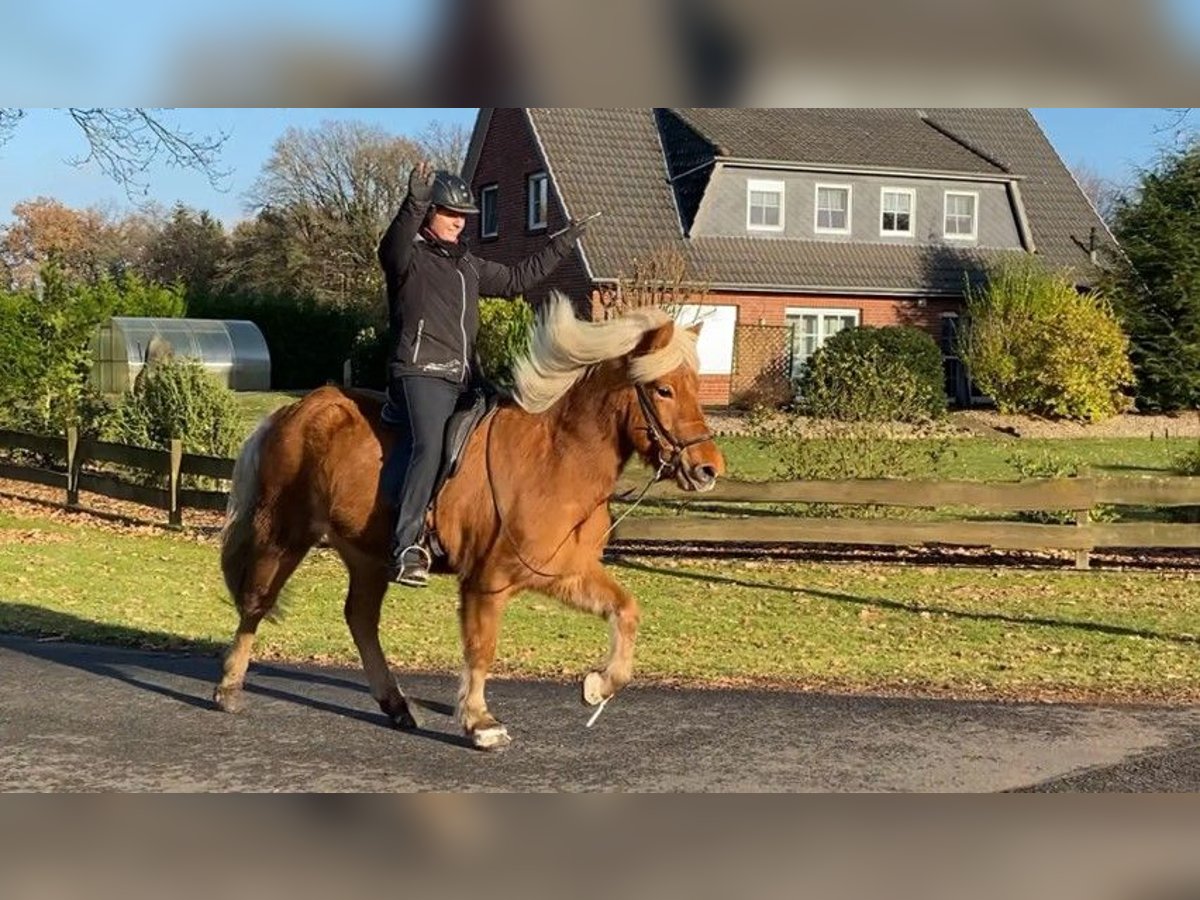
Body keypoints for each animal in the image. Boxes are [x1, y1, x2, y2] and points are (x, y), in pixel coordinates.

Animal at [212, 293, 725, 749]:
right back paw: (229, 687)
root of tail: (294, 410)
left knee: (360, 618)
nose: (708, 469)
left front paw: (598, 684)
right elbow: (481, 649)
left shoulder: (563, 572)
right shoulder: (487, 582)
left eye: (694, 387)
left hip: (367, 555)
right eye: (663, 389)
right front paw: (480, 723)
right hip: (284, 532)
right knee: (257, 601)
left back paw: (396, 705)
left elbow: (626, 609)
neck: (556, 461)